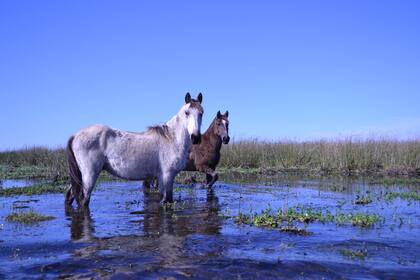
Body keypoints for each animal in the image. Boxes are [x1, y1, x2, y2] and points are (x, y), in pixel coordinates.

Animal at [65, 92, 203, 208]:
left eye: (201, 113)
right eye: (187, 112)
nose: (195, 137)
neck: (172, 139)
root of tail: (75, 135)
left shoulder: (162, 178)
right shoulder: (167, 176)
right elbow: (167, 201)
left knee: (69, 196)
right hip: (89, 177)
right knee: (84, 201)